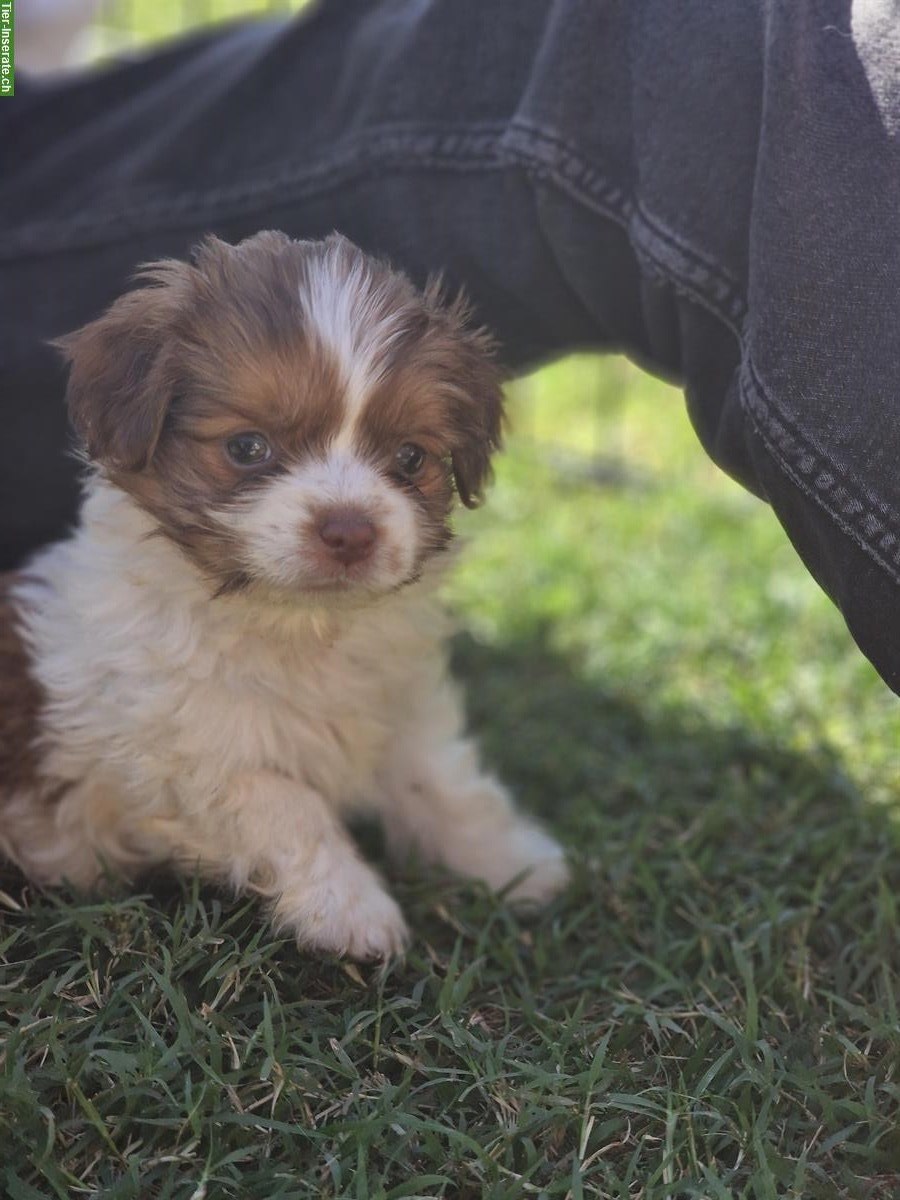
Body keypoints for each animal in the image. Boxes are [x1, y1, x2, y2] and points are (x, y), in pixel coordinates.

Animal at [0, 229, 571, 960]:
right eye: (248, 447)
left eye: (411, 458)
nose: (350, 529)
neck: (302, 625)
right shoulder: (177, 757)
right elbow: (283, 801)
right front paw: (352, 907)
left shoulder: (404, 702)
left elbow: (440, 779)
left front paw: (509, 860)